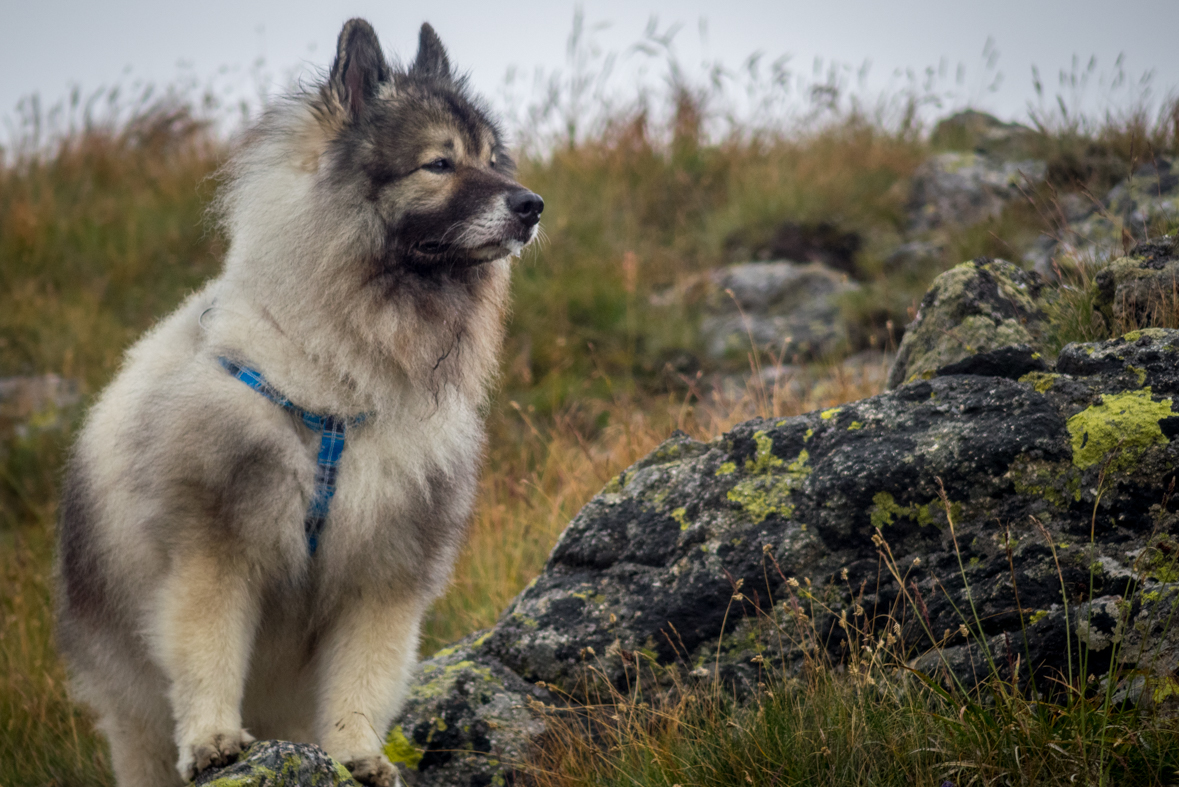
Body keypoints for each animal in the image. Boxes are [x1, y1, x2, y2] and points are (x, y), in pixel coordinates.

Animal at [50, 18, 539, 787]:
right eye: (439, 163)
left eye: (494, 159)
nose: (531, 206)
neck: (339, 378)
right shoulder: (215, 549)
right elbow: (208, 654)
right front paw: (215, 739)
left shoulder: (383, 572)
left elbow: (363, 678)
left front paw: (357, 754)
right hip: (133, 717)